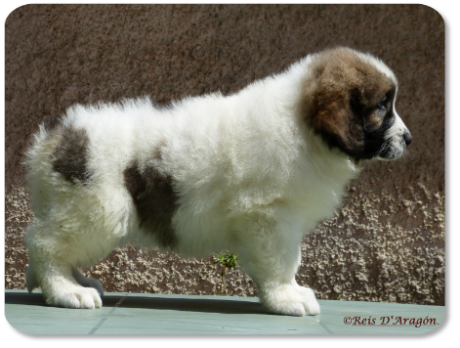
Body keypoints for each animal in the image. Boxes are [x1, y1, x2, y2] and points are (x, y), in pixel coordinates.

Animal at [23, 47, 412, 316]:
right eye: (383, 105)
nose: (409, 139)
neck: (303, 126)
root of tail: (52, 139)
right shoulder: (270, 216)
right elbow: (284, 261)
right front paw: (287, 298)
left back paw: (78, 281)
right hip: (96, 210)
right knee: (45, 246)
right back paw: (67, 291)